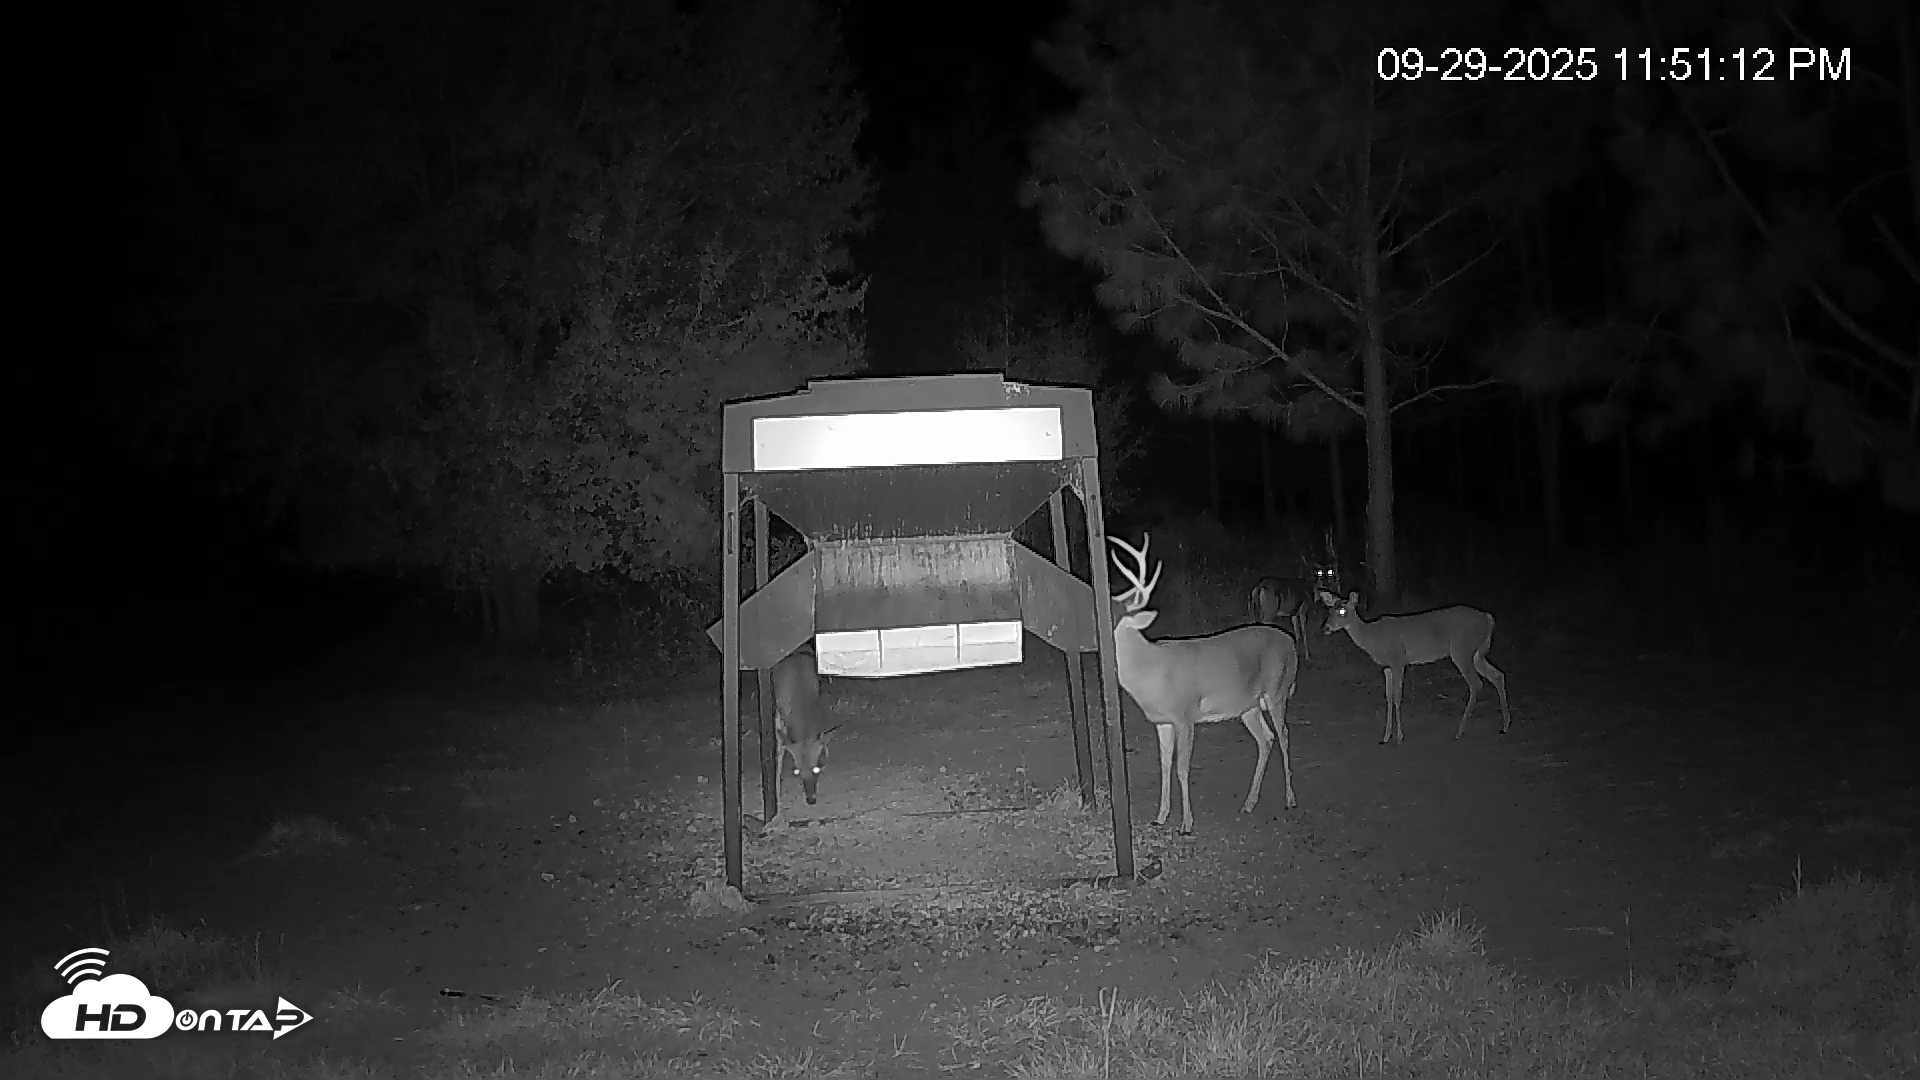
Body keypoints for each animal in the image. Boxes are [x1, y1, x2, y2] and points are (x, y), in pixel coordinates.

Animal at [1107, 533, 1299, 834]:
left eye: (1114, 615)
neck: (1151, 670)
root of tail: (1291, 643)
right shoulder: (1162, 721)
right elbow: (1164, 765)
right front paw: (1160, 816)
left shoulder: (1185, 715)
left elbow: (1182, 767)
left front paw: (1186, 823)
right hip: (1248, 705)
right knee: (1266, 739)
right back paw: (1249, 803)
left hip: (1277, 691)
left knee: (1284, 735)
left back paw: (1290, 799)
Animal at [1317, 590, 1512, 745]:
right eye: (1330, 610)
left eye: (1342, 610)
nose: (1325, 628)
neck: (1373, 638)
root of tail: (1488, 618)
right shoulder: (1387, 667)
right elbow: (1388, 697)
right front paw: (1385, 736)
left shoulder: (1398, 660)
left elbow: (1397, 697)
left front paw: (1399, 737)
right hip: (1478, 653)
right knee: (1497, 675)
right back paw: (1505, 725)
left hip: (1462, 650)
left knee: (1476, 683)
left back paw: (1459, 731)